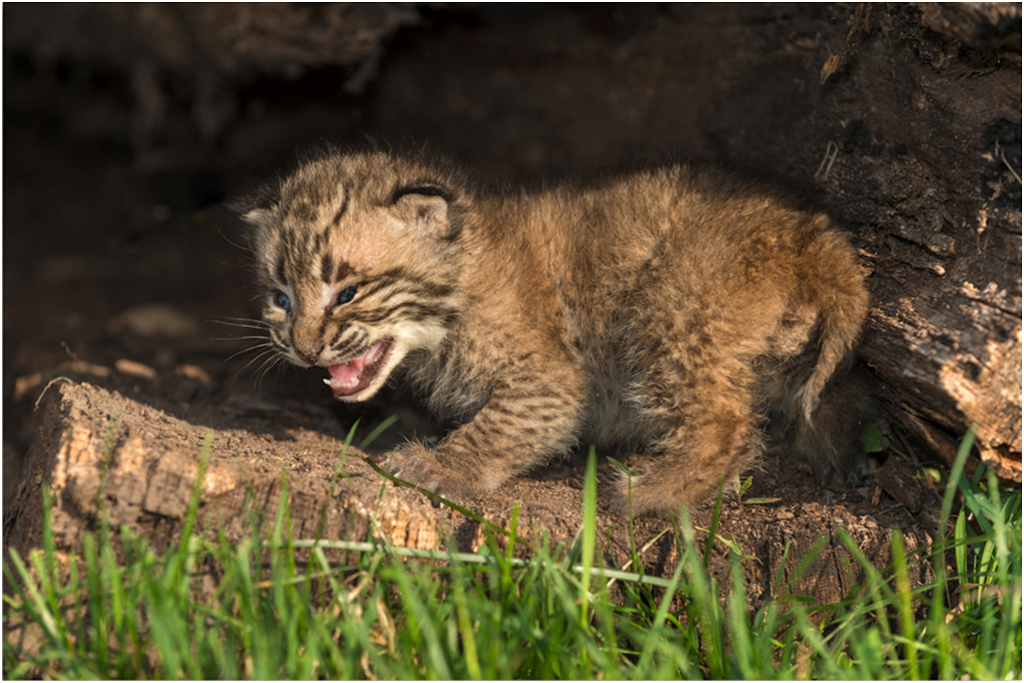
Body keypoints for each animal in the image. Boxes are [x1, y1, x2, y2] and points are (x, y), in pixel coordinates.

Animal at [237, 148, 864, 511]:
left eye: (347, 293)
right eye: (281, 300)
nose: (304, 350)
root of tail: (814, 234)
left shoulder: (551, 381)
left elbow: (498, 426)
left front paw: (436, 466)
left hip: (672, 312)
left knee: (727, 423)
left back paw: (647, 494)